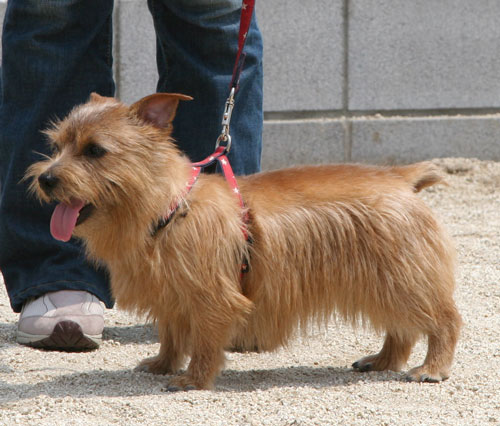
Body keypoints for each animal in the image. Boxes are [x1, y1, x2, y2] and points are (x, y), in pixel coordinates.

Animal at [26, 92, 462, 391]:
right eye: (57, 145)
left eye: (95, 150)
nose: (46, 179)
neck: (169, 208)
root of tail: (402, 177)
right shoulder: (171, 296)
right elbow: (171, 335)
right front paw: (163, 365)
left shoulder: (212, 297)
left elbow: (204, 343)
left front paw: (193, 379)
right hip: (384, 282)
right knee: (402, 329)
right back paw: (383, 360)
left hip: (403, 278)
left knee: (444, 320)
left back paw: (432, 368)